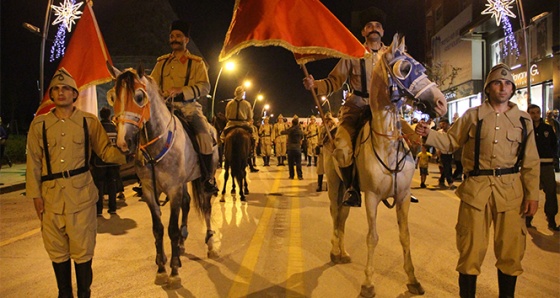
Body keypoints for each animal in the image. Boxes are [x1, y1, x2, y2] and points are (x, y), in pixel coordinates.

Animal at [324, 33, 446, 296]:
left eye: (422, 67)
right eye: (405, 68)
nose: (441, 103)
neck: (386, 144)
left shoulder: (402, 196)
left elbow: (405, 236)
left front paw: (413, 279)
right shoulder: (371, 197)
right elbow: (373, 237)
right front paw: (368, 283)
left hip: (349, 190)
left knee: (343, 215)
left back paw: (343, 251)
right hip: (335, 184)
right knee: (335, 213)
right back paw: (335, 250)